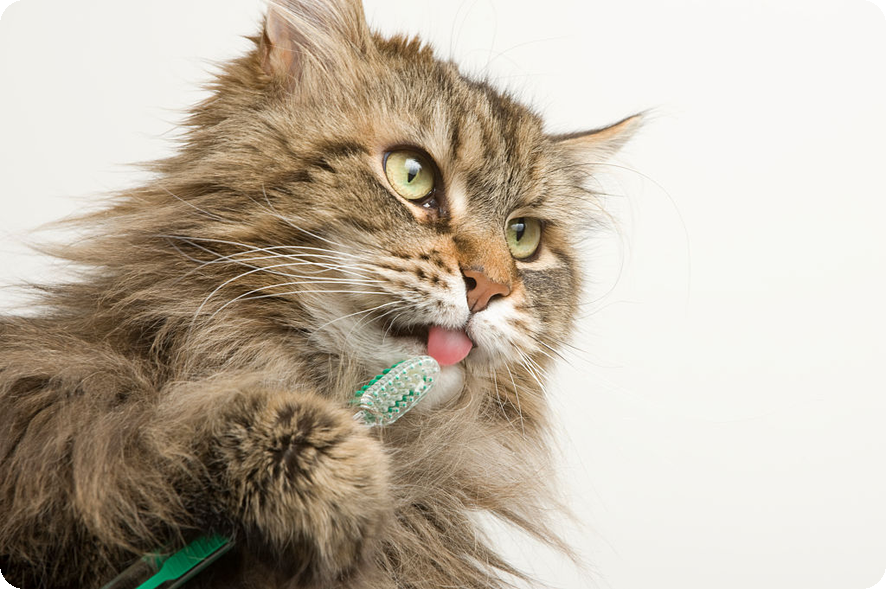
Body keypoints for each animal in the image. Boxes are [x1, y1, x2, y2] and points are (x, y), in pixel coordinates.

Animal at [0, 1, 639, 588]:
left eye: (523, 236)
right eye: (412, 175)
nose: (491, 287)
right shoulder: (57, 433)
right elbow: (167, 430)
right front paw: (328, 474)